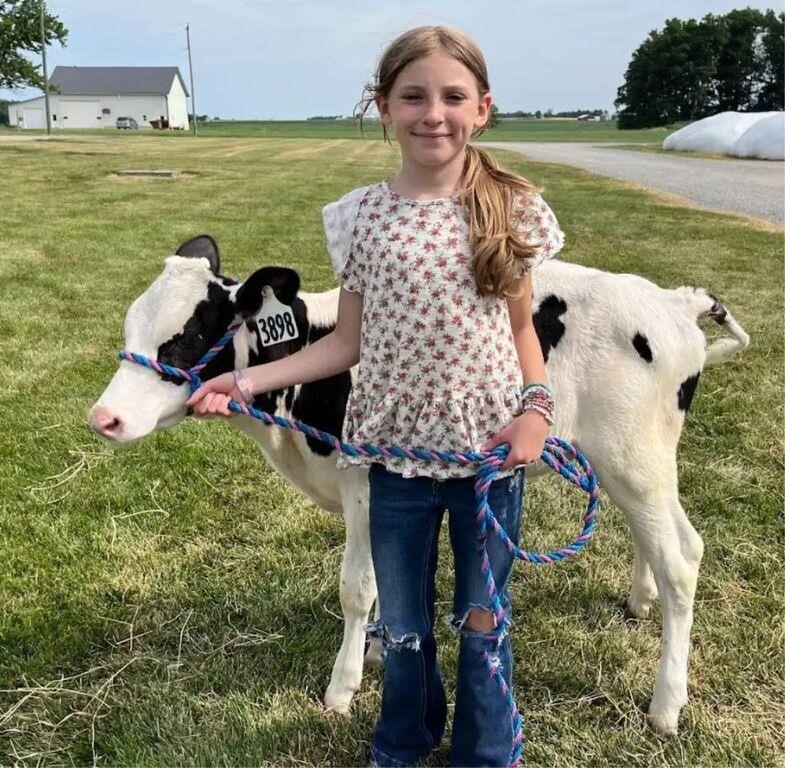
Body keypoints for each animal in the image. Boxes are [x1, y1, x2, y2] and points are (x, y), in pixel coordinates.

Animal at [90, 236, 748, 736]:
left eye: (187, 337)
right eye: (131, 325)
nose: (104, 418)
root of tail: (671, 299)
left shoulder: (364, 484)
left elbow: (357, 586)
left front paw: (343, 687)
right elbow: (391, 577)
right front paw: (383, 649)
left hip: (636, 458)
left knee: (681, 557)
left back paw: (666, 705)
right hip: (626, 463)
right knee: (655, 543)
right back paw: (640, 602)